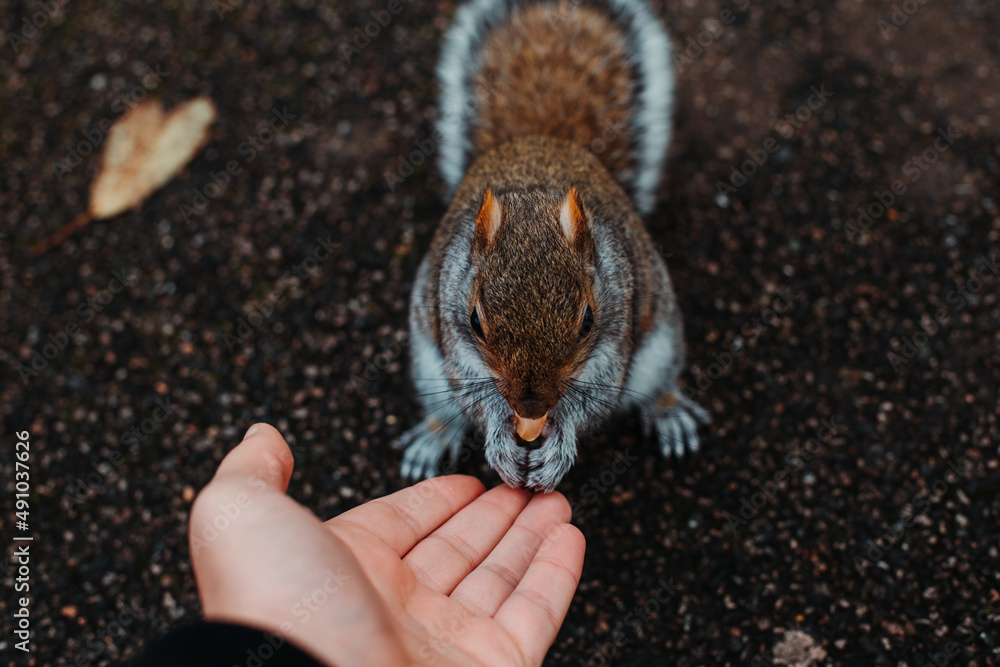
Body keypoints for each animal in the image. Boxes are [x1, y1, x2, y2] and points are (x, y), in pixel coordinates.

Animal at [394, 0, 708, 490]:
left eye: (587, 320)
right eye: (475, 320)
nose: (531, 408)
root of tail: (541, 137)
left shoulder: (613, 338)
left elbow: (591, 403)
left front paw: (559, 444)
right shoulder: (453, 335)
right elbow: (475, 395)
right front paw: (498, 440)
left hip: (662, 343)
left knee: (657, 386)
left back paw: (668, 410)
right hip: (429, 365)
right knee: (446, 408)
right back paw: (433, 434)